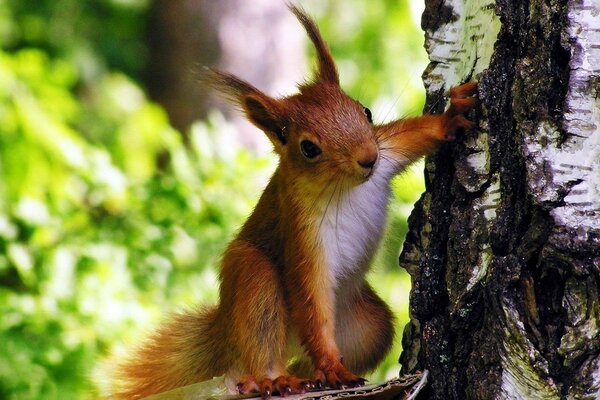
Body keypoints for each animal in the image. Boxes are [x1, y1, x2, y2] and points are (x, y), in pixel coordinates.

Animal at [113, 4, 478, 398]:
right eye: (309, 148)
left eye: (364, 111)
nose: (367, 158)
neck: (346, 187)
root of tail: (226, 332)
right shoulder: (302, 232)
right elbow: (311, 301)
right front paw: (332, 367)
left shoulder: (387, 150)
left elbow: (414, 135)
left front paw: (451, 117)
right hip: (253, 280)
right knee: (259, 352)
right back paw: (275, 379)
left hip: (367, 325)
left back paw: (309, 376)